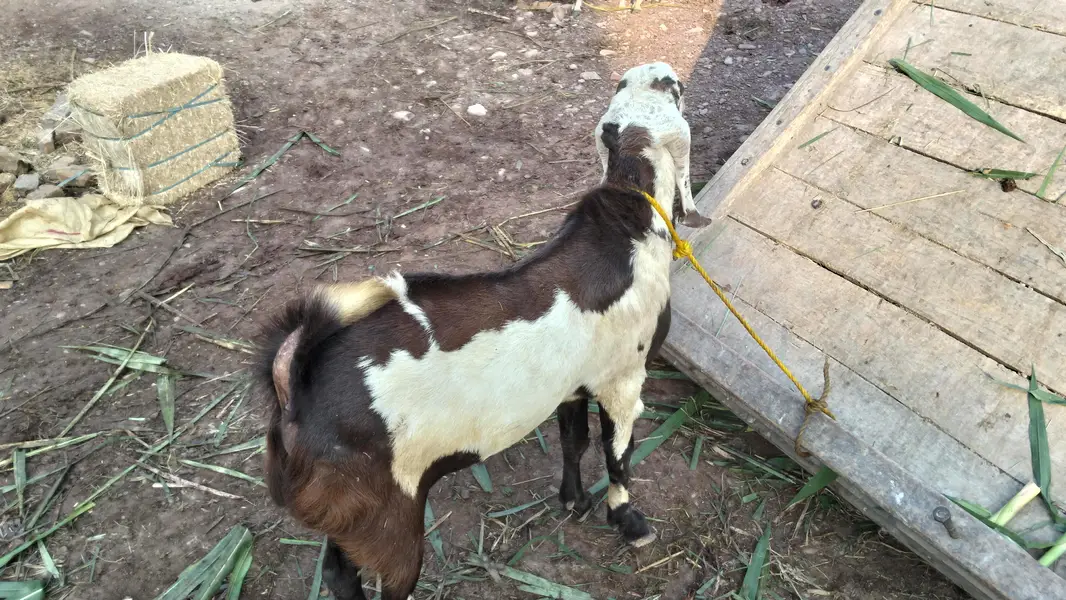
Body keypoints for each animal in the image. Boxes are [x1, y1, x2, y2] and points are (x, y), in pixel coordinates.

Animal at [258, 123, 679, 600]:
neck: (628, 223)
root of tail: (294, 390)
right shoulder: (623, 379)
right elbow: (618, 454)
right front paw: (629, 523)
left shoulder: (572, 386)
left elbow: (575, 441)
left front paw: (575, 501)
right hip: (390, 521)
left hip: (349, 513)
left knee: (337, 571)